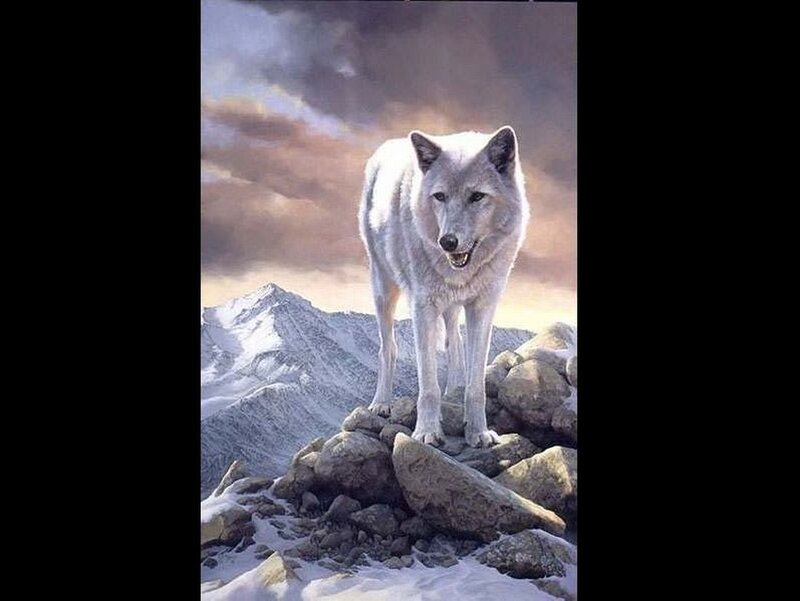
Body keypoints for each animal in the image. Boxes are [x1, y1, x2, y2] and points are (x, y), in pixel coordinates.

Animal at [359, 126, 530, 448]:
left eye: (477, 196)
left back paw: (453, 390)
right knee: (388, 348)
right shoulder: (422, 306)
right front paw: (426, 433)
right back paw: (381, 403)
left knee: (454, 342)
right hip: (383, 289)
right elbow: (428, 384)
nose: (447, 242)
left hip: (449, 306)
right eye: (439, 196)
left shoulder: (483, 307)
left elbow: (476, 386)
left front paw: (478, 433)